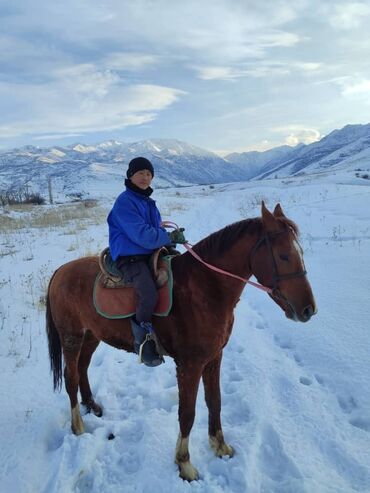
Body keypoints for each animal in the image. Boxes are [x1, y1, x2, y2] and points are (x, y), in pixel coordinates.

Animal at [46, 201, 316, 480]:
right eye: (284, 256)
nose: (308, 309)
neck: (205, 288)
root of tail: (60, 271)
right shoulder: (190, 364)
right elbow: (187, 413)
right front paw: (185, 464)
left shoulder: (214, 357)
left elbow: (215, 402)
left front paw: (220, 446)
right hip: (71, 336)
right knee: (71, 377)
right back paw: (78, 426)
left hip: (91, 335)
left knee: (83, 367)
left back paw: (92, 405)